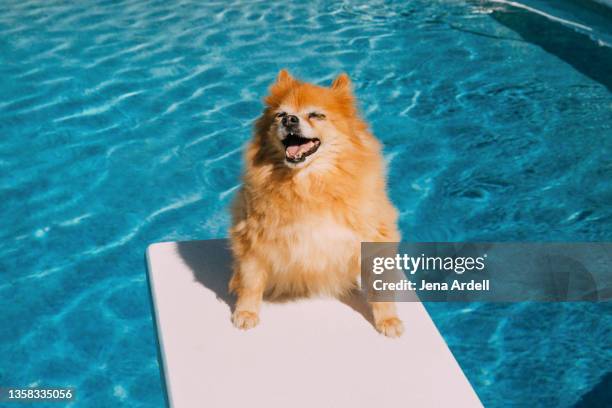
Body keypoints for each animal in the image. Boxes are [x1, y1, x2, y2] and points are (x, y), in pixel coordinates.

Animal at [227, 71, 404, 338]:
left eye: (316, 115)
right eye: (280, 114)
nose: (289, 119)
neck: (309, 183)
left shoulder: (374, 238)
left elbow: (380, 287)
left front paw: (388, 319)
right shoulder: (253, 237)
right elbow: (251, 280)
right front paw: (246, 312)